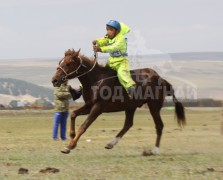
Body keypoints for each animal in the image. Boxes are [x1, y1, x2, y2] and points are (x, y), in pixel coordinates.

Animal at [51, 48, 186, 154]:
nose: (54, 80)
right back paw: (111, 143)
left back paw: (155, 150)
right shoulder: (89, 105)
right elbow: (73, 114)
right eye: (60, 62)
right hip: (131, 106)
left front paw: (69, 146)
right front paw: (72, 137)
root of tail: (161, 78)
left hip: (153, 106)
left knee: (159, 125)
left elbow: (84, 126)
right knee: (128, 124)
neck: (96, 81)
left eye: (68, 63)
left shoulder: (98, 107)